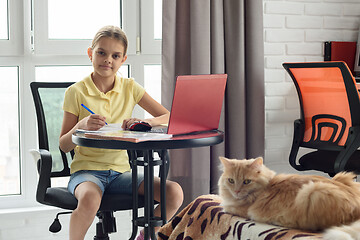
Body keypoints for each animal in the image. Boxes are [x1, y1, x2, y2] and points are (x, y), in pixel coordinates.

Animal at [218, 157, 360, 239]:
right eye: (231, 180)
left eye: (246, 182)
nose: (236, 191)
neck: (267, 185)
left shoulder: (241, 209)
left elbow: (225, 207)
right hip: (342, 177)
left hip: (313, 192)